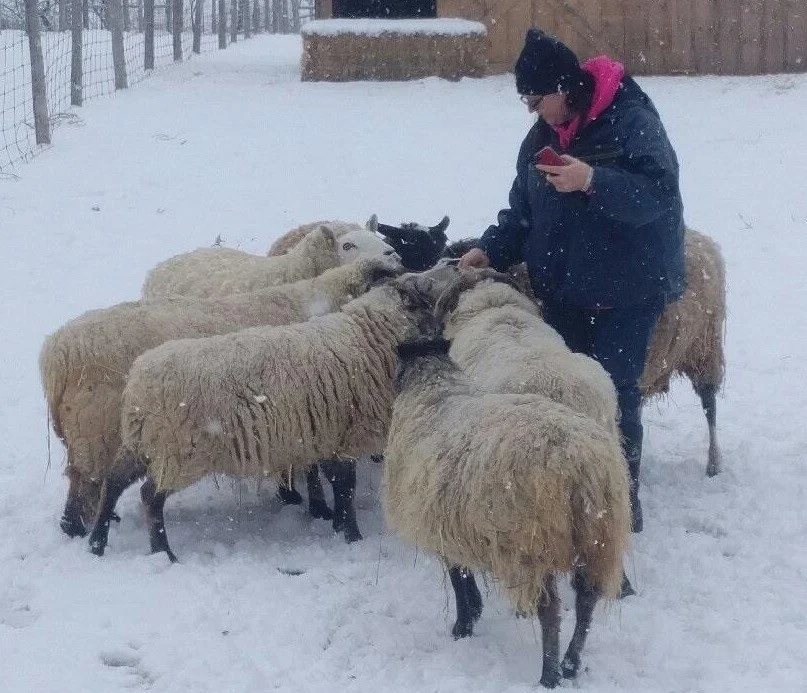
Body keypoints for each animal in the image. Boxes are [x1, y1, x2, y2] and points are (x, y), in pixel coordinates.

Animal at [41, 258, 400, 538]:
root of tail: (56, 353)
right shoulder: (311, 411)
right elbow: (313, 468)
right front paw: (316, 507)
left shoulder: (305, 416)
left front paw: (298, 499)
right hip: (99, 430)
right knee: (84, 477)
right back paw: (76, 526)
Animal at [87, 268, 506, 560]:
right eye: (427, 286)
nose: (456, 265)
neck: (368, 338)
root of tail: (137, 381)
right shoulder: (347, 433)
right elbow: (346, 486)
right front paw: (351, 535)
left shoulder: (329, 435)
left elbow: (336, 482)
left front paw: (335, 523)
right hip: (179, 452)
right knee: (149, 497)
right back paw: (164, 553)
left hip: (143, 443)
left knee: (113, 481)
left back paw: (97, 542)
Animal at [383, 336, 631, 688]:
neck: (435, 393)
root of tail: (580, 461)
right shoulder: (458, 525)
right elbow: (464, 574)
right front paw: (473, 611)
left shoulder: (442, 526)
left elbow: (457, 577)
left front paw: (463, 625)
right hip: (599, 537)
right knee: (586, 599)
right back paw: (570, 664)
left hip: (532, 544)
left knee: (550, 610)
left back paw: (549, 675)